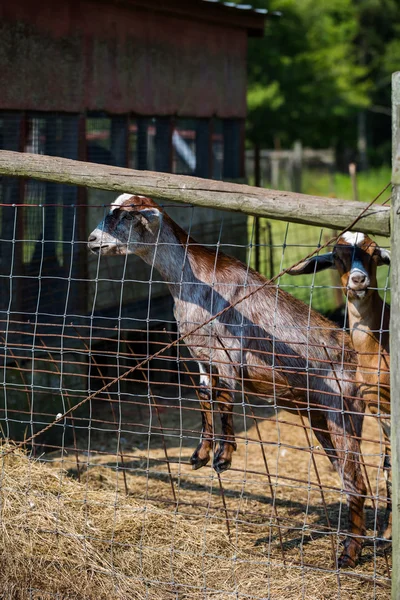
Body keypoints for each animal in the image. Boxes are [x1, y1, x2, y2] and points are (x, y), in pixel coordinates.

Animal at [89, 196, 368, 568]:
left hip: (344, 412)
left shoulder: (229, 353)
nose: (92, 240)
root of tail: (354, 357)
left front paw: (224, 456)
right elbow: (205, 397)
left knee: (356, 483)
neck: (192, 282)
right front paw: (201, 454)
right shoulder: (201, 357)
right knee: (351, 480)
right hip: (319, 417)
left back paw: (348, 555)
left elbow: (224, 400)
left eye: (124, 216)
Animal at [288, 231, 390, 540]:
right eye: (336, 255)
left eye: (375, 252)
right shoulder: (378, 407)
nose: (358, 280)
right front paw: (387, 533)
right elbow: (389, 466)